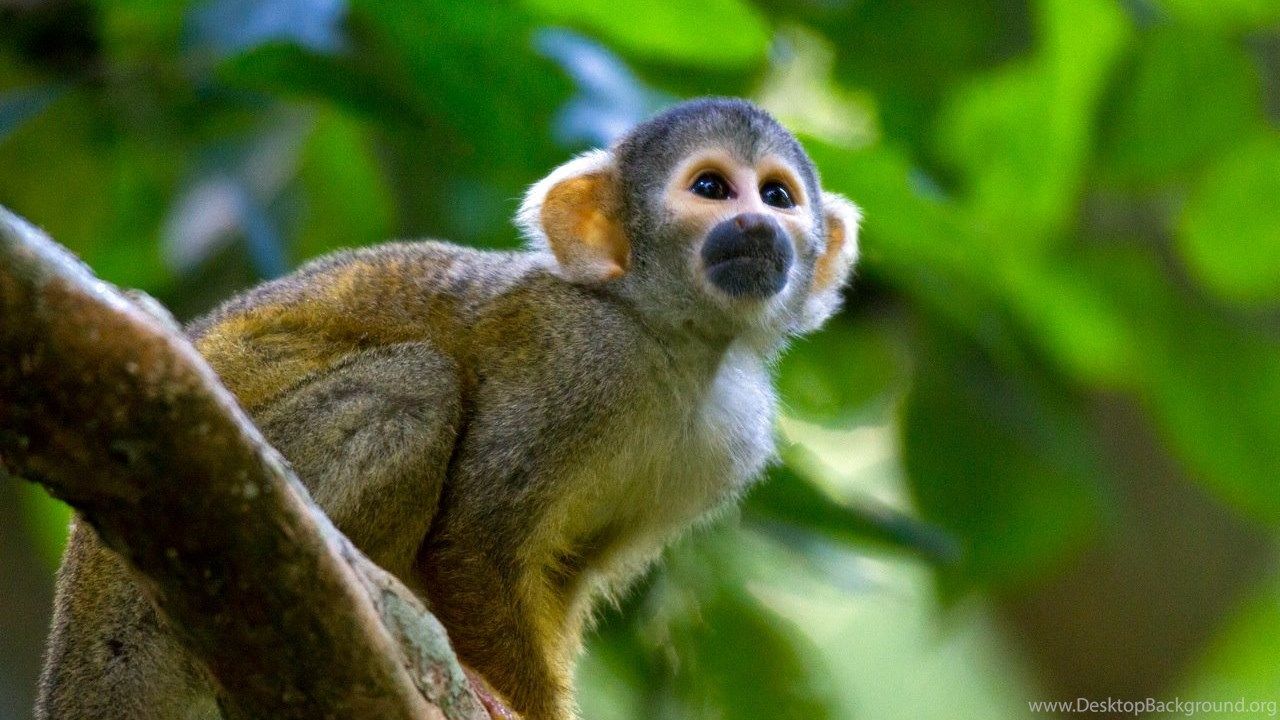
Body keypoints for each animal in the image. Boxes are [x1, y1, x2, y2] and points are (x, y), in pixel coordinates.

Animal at [36, 97, 861, 720]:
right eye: (712, 188)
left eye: (778, 196)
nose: (757, 225)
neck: (672, 338)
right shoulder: (577, 362)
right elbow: (474, 542)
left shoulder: (727, 443)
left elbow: (561, 576)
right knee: (419, 388)